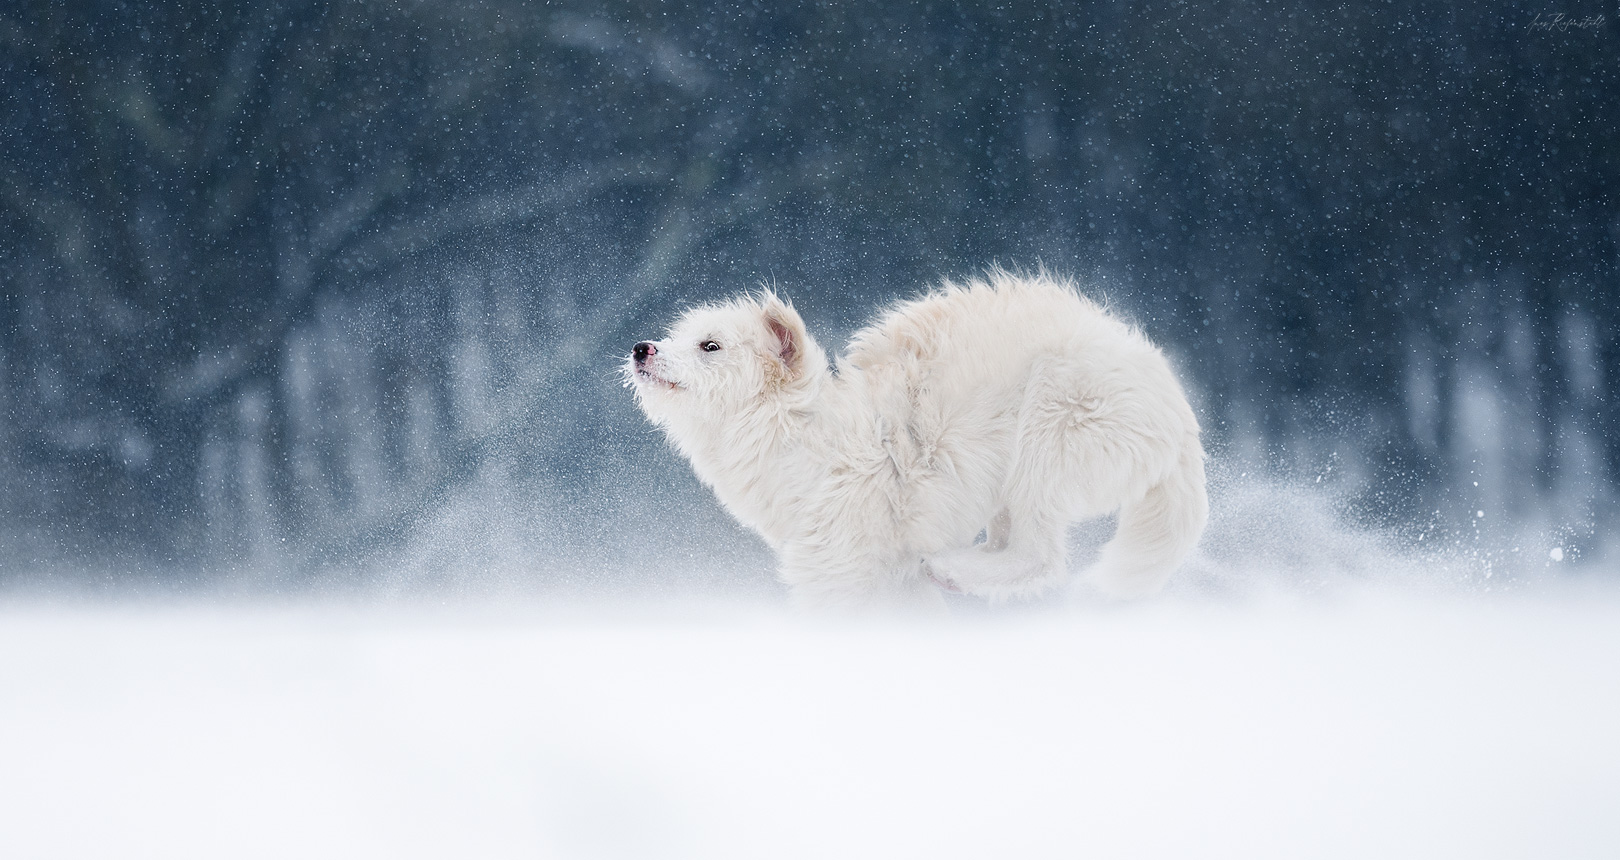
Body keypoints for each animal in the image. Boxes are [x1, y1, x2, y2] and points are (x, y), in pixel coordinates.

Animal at [625, 270, 1211, 612]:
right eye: (680, 337)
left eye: (710, 346)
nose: (641, 348)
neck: (808, 439)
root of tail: (1180, 412)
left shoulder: (841, 569)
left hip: (1047, 432)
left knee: (1040, 557)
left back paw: (953, 568)